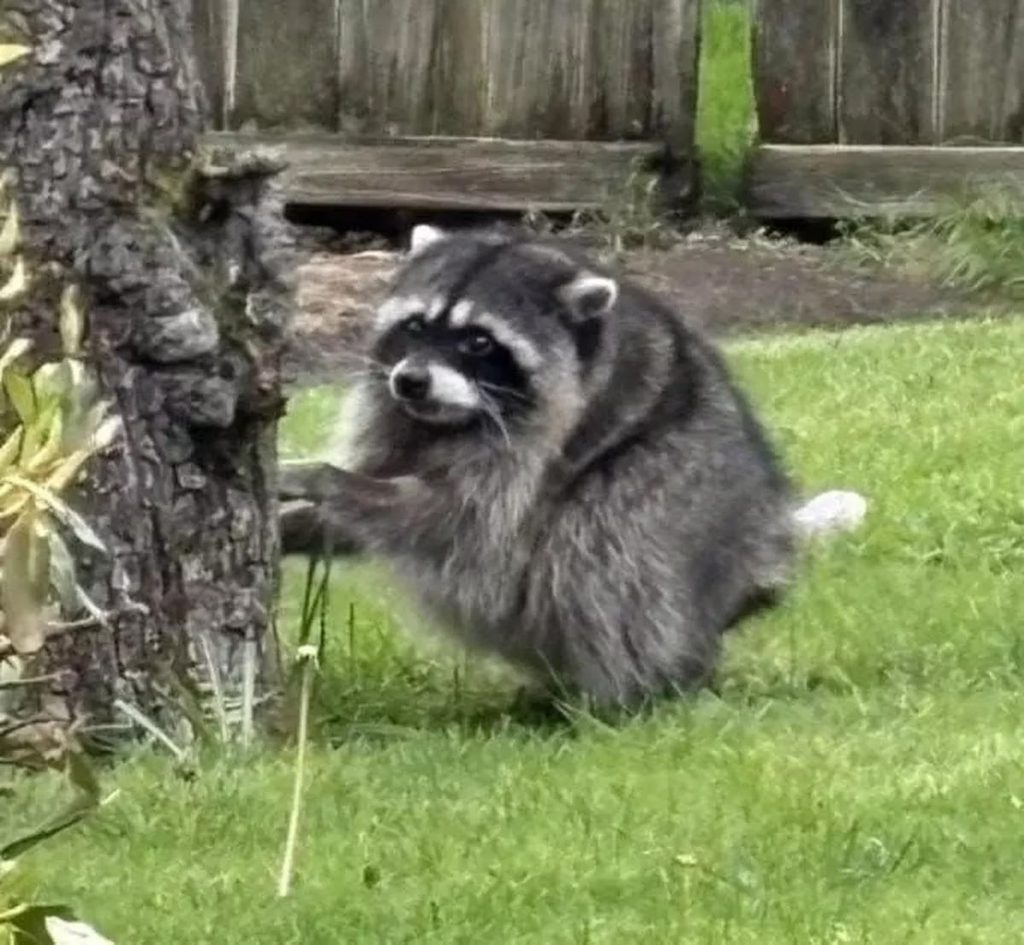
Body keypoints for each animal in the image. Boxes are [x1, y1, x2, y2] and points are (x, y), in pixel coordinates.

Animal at [280, 224, 835, 707]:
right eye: (415, 326)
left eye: (478, 342)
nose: (411, 381)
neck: (450, 420)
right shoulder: (397, 418)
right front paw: (299, 523)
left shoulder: (537, 447)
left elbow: (454, 521)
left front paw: (326, 478)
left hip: (680, 501)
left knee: (603, 542)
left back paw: (624, 693)